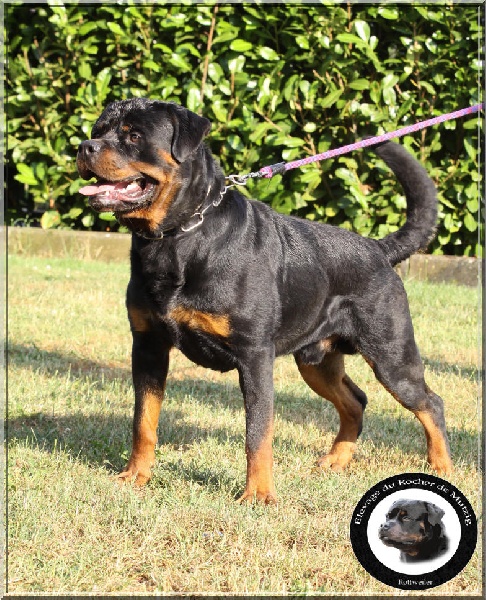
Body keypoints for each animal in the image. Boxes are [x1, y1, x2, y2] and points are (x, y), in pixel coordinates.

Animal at [77, 98, 452, 503]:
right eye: (99, 130)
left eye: (133, 136)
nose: (85, 146)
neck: (176, 239)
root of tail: (378, 249)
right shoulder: (148, 346)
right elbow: (143, 420)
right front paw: (136, 475)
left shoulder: (254, 355)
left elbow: (257, 433)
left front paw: (257, 495)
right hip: (315, 360)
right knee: (356, 400)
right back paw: (337, 460)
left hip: (391, 357)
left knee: (430, 403)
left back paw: (442, 466)